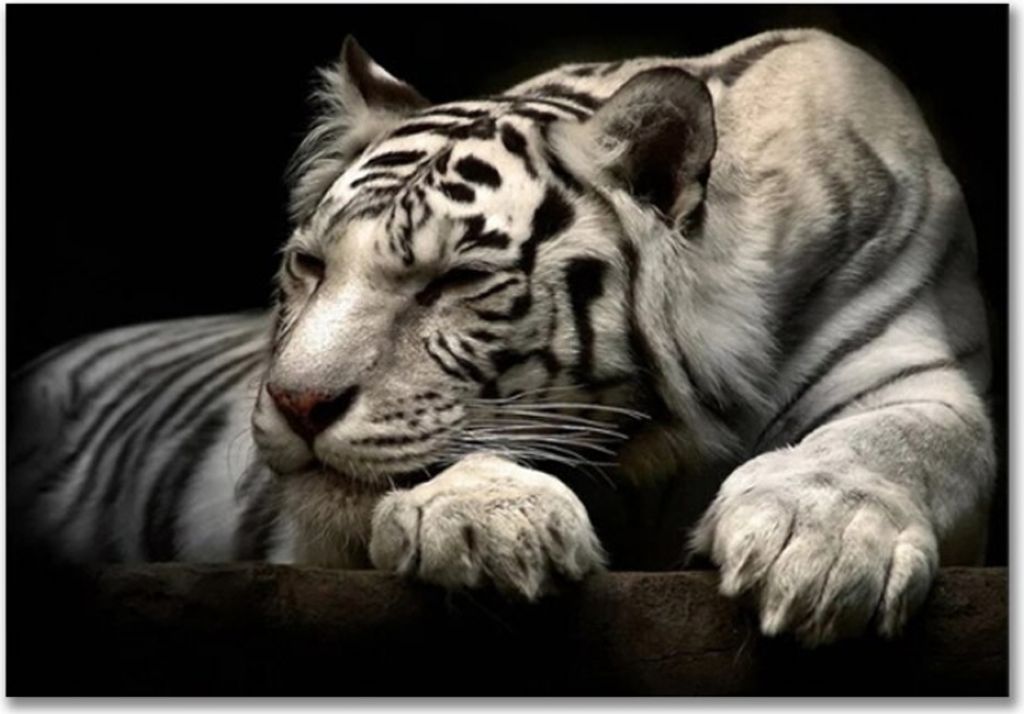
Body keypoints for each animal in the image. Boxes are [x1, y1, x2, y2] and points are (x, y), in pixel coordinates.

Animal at [10, 28, 995, 647]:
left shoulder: (919, 367)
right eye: (310, 267)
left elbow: (898, 440)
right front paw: (488, 521)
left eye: (453, 282)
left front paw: (819, 544)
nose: (294, 403)